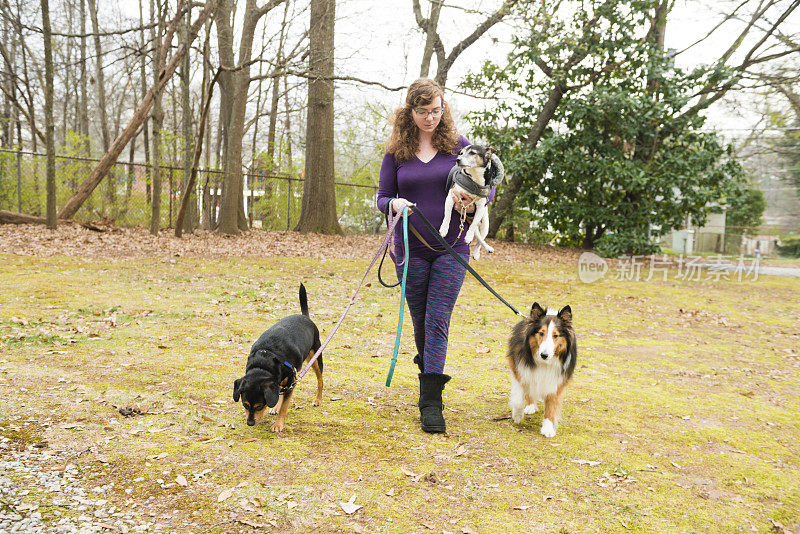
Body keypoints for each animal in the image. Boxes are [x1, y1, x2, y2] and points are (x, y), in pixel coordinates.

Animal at [231, 286, 322, 434]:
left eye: (259, 406)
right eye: (245, 405)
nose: (250, 423)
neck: (264, 360)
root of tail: (305, 316)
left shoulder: (292, 382)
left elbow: (285, 406)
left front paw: (278, 425)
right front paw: (275, 407)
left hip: (316, 357)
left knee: (320, 380)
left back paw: (318, 399)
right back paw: (275, 407)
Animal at [510, 304, 580, 438]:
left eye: (555, 335)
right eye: (541, 333)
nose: (544, 355)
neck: (545, 363)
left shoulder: (556, 381)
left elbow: (551, 406)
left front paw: (548, 428)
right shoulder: (520, 371)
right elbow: (518, 399)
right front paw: (517, 415)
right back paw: (530, 406)